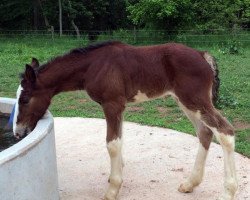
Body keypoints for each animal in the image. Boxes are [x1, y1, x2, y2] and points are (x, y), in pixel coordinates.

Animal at [14, 41, 237, 200]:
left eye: (24, 99)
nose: (17, 132)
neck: (94, 65)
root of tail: (202, 55)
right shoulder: (119, 106)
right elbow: (120, 139)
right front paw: (116, 176)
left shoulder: (112, 104)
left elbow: (112, 144)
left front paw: (112, 190)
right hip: (186, 101)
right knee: (205, 132)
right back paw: (190, 184)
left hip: (194, 100)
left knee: (225, 131)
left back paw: (228, 192)